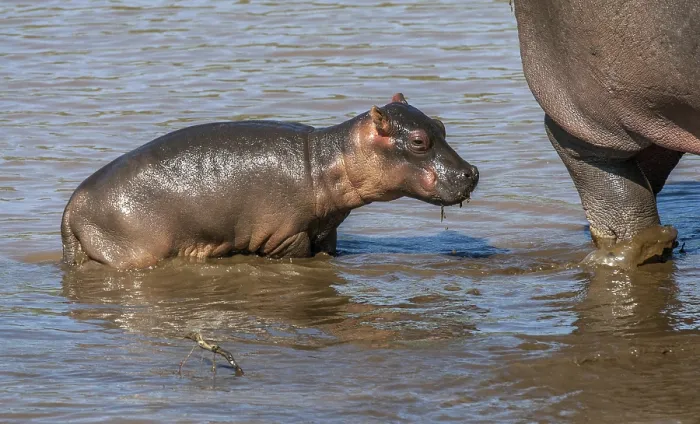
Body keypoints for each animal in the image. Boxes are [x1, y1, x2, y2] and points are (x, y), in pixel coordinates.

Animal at [61, 94, 479, 269]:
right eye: (419, 141)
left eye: (441, 125)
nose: (472, 172)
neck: (330, 157)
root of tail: (69, 210)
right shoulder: (286, 236)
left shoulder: (326, 230)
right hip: (134, 252)